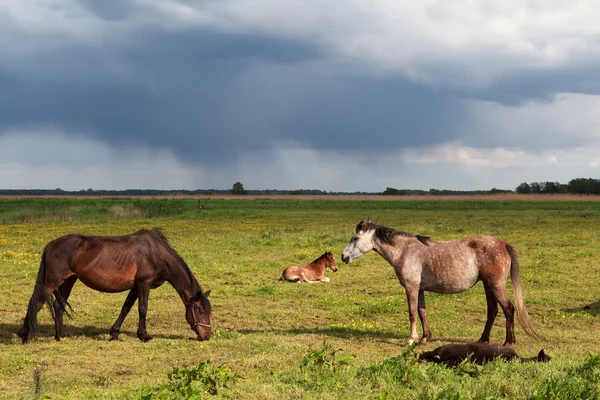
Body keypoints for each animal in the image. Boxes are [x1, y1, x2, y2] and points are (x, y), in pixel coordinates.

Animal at [18, 228, 213, 344]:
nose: (207, 336)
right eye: (201, 311)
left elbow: (126, 308)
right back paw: (24, 335)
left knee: (58, 306)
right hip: (51, 283)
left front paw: (114, 333)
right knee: (35, 304)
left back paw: (60, 336)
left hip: (68, 281)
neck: (156, 254)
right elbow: (142, 309)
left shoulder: (135, 287)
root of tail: (51, 245)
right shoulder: (144, 284)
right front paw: (144, 335)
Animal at [342, 220, 540, 346]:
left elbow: (412, 313)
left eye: (355, 238)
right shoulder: (419, 289)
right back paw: (483, 340)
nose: (343, 257)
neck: (405, 250)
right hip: (488, 286)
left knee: (508, 309)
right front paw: (425, 338)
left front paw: (412, 339)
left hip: (496, 286)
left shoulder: (411, 288)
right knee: (493, 310)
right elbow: (422, 312)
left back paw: (508, 342)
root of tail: (503, 243)